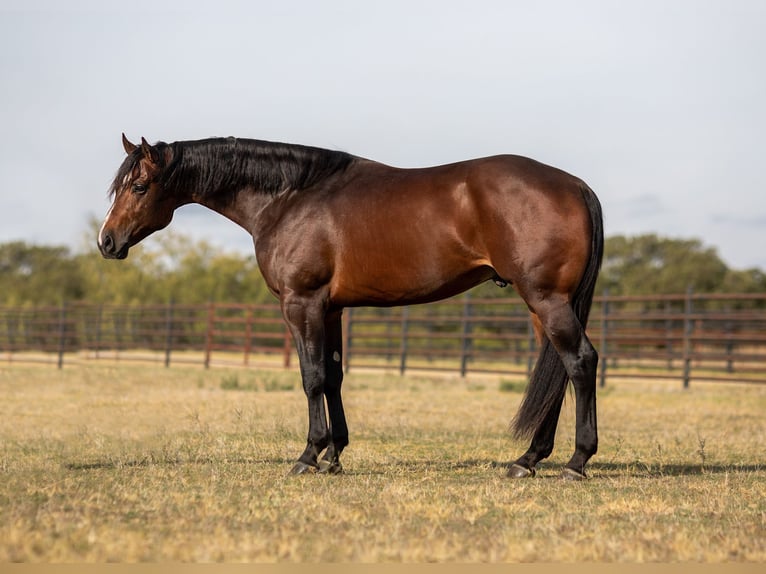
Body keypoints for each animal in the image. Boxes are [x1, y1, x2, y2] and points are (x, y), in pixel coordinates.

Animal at [99, 135, 608, 482]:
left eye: (139, 186)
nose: (107, 242)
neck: (290, 198)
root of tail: (576, 185)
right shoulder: (331, 309)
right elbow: (334, 376)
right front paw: (335, 456)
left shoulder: (301, 303)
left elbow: (311, 378)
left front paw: (309, 456)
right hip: (542, 306)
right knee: (557, 371)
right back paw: (528, 459)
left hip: (546, 299)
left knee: (580, 363)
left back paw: (576, 462)